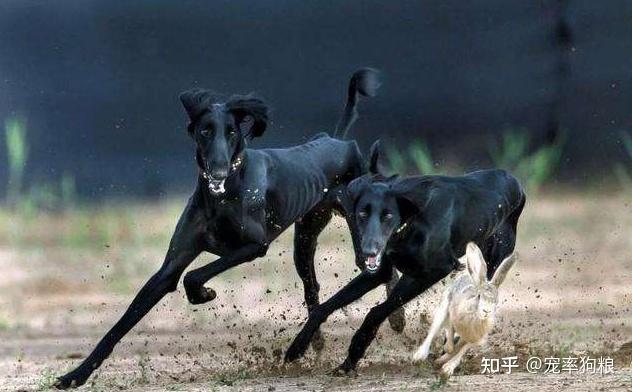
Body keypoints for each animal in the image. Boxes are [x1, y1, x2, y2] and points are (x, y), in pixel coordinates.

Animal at [56, 68, 408, 388]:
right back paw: (316, 340)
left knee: (380, 270)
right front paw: (75, 375)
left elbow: (194, 275)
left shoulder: (253, 246)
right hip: (305, 238)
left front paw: (204, 293)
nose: (218, 168)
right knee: (314, 287)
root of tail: (337, 140)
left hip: (359, 230)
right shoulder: (170, 267)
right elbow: (121, 324)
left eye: (231, 132)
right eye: (204, 131)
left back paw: (395, 319)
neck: (222, 195)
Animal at [284, 143, 524, 374]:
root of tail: (514, 181)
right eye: (362, 213)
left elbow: (376, 312)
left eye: (388, 215)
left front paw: (352, 355)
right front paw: (297, 348)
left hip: (488, 262)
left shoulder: (435, 270)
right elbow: (324, 308)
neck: (413, 217)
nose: (368, 251)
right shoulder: (380, 271)